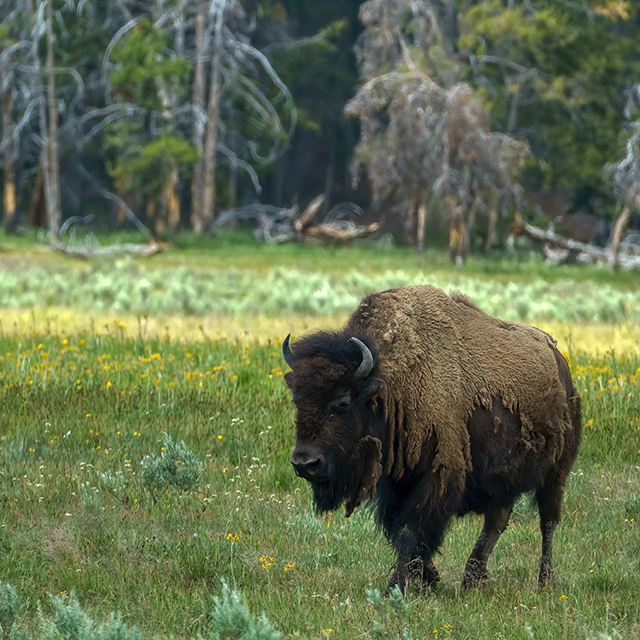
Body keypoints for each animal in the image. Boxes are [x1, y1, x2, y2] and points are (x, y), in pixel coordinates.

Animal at [282, 282, 584, 592]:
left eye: (343, 403)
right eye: (297, 400)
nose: (305, 464)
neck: (390, 384)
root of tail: (559, 360)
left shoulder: (437, 475)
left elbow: (411, 531)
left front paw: (397, 587)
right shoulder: (396, 484)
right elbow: (401, 532)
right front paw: (428, 580)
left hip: (556, 470)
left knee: (547, 520)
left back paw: (544, 581)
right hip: (505, 474)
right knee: (497, 520)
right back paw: (472, 580)